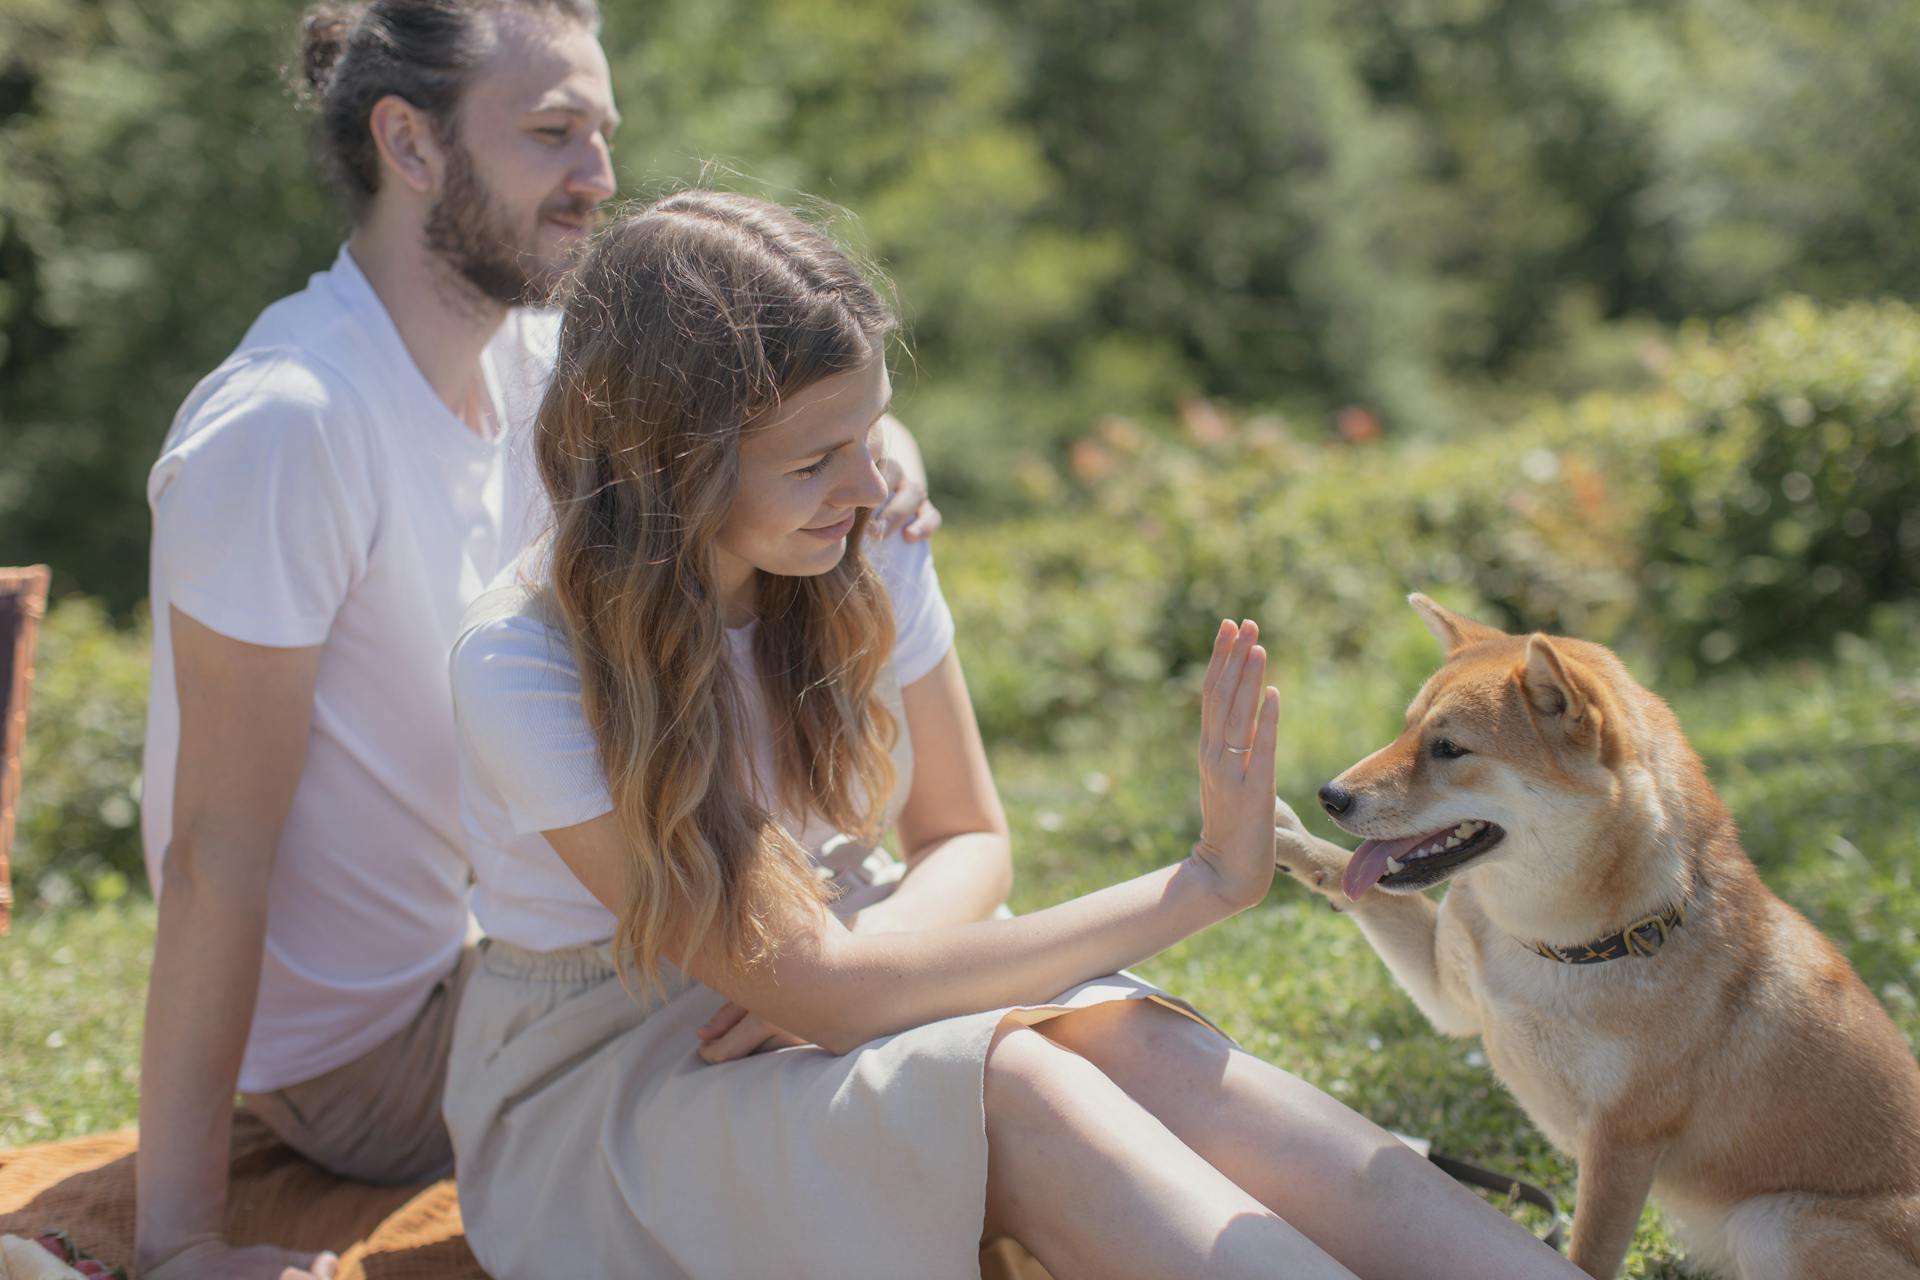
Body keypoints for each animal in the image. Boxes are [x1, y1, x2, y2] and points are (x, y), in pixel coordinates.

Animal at [1274, 594, 1920, 1280]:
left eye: (1448, 748)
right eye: (1405, 729)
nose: (1330, 796)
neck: (1563, 945)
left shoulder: (1621, 1143)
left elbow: (1587, 1255)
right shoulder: (1451, 996)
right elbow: (1354, 887)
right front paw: (1286, 837)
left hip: (1774, 1224)